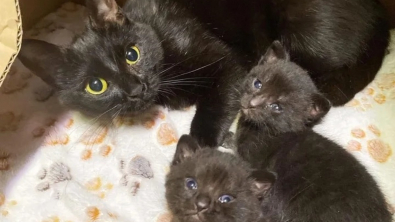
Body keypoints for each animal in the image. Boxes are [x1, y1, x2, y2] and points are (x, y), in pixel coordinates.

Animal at [17, 0, 390, 149]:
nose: (136, 89)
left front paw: (205, 142)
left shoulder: (231, 65)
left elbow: (210, 108)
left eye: (132, 54)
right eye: (96, 86)